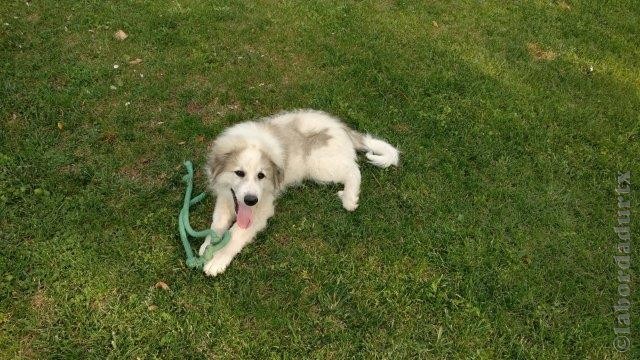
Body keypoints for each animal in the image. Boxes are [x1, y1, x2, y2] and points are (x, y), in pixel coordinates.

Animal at [200, 109, 400, 276]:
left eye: (261, 175)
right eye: (239, 173)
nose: (250, 200)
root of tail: (340, 127)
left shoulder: (262, 207)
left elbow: (235, 234)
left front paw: (218, 259)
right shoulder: (226, 196)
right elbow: (217, 225)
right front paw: (208, 246)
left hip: (319, 165)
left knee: (353, 170)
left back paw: (349, 199)